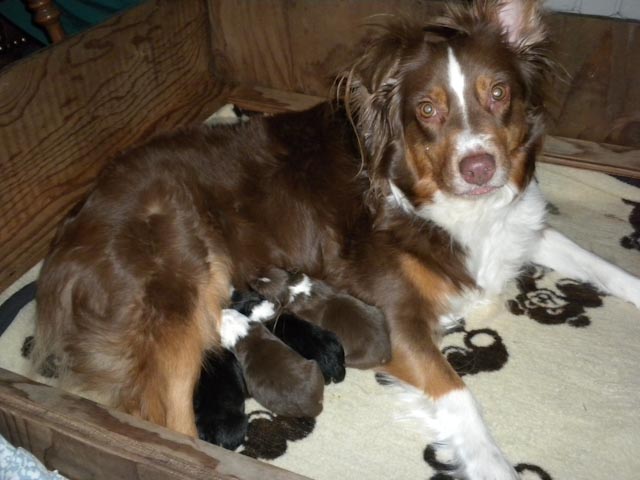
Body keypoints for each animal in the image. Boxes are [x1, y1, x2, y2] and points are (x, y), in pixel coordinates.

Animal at [252, 268, 392, 370]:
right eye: (264, 270)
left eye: (260, 288)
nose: (252, 278)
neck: (292, 287)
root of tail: (387, 353)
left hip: (358, 356)